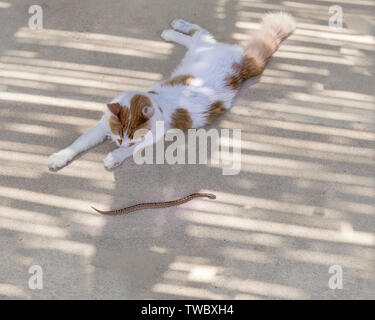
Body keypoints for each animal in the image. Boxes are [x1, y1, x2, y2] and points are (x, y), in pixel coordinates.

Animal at [48, 11, 296, 170]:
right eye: (118, 135)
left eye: (130, 140)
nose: (119, 143)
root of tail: (245, 63)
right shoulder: (102, 126)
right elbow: (79, 142)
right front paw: (60, 157)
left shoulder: (156, 133)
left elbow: (134, 150)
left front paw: (115, 156)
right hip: (199, 48)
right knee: (197, 34)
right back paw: (173, 29)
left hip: (204, 46)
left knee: (200, 32)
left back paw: (173, 29)